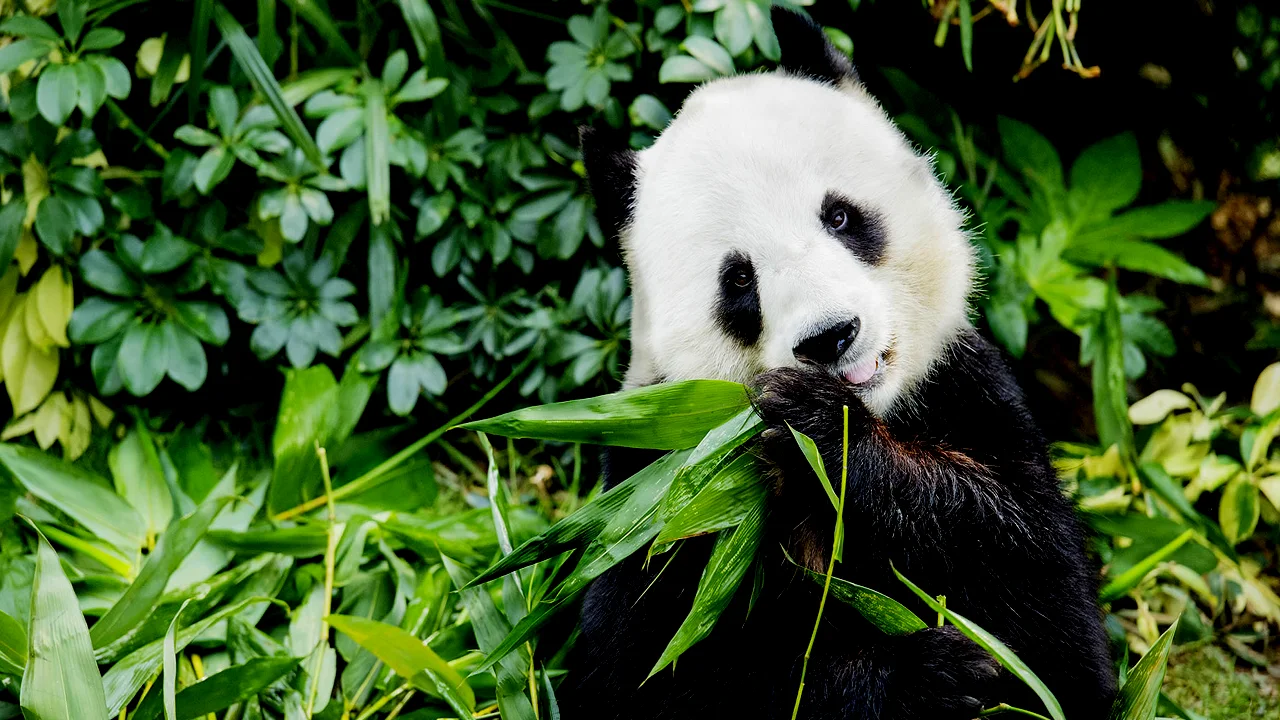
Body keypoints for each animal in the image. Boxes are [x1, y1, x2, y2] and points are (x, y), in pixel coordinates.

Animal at [565, 7, 1116, 717]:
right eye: (738, 279)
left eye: (839, 216)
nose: (830, 337)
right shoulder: (659, 493)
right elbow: (647, 674)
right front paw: (928, 678)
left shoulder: (968, 392)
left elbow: (1047, 618)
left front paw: (822, 432)